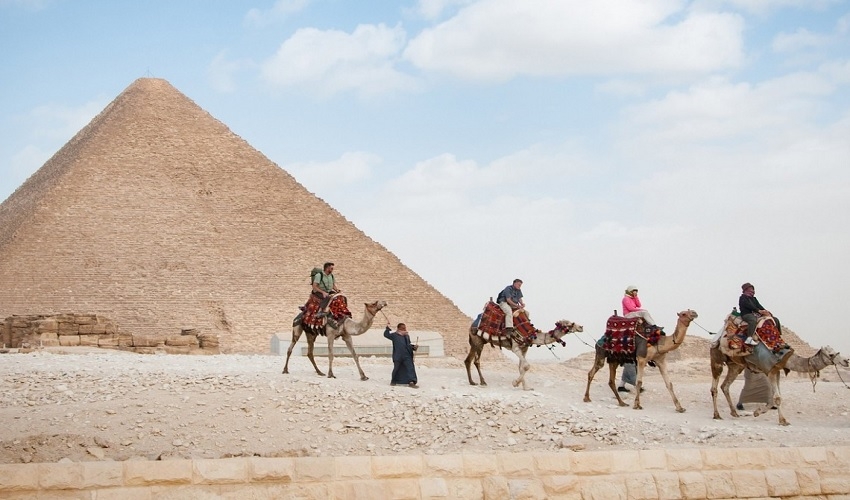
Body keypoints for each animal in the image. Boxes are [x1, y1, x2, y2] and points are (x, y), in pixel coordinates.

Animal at [708, 330, 840, 424]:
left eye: (835, 351)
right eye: (831, 354)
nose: (844, 360)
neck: (784, 356)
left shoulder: (777, 371)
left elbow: (776, 397)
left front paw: (758, 412)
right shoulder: (770, 371)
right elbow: (777, 397)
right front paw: (783, 421)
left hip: (735, 365)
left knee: (725, 386)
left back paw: (734, 413)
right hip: (716, 358)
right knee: (714, 388)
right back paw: (717, 415)